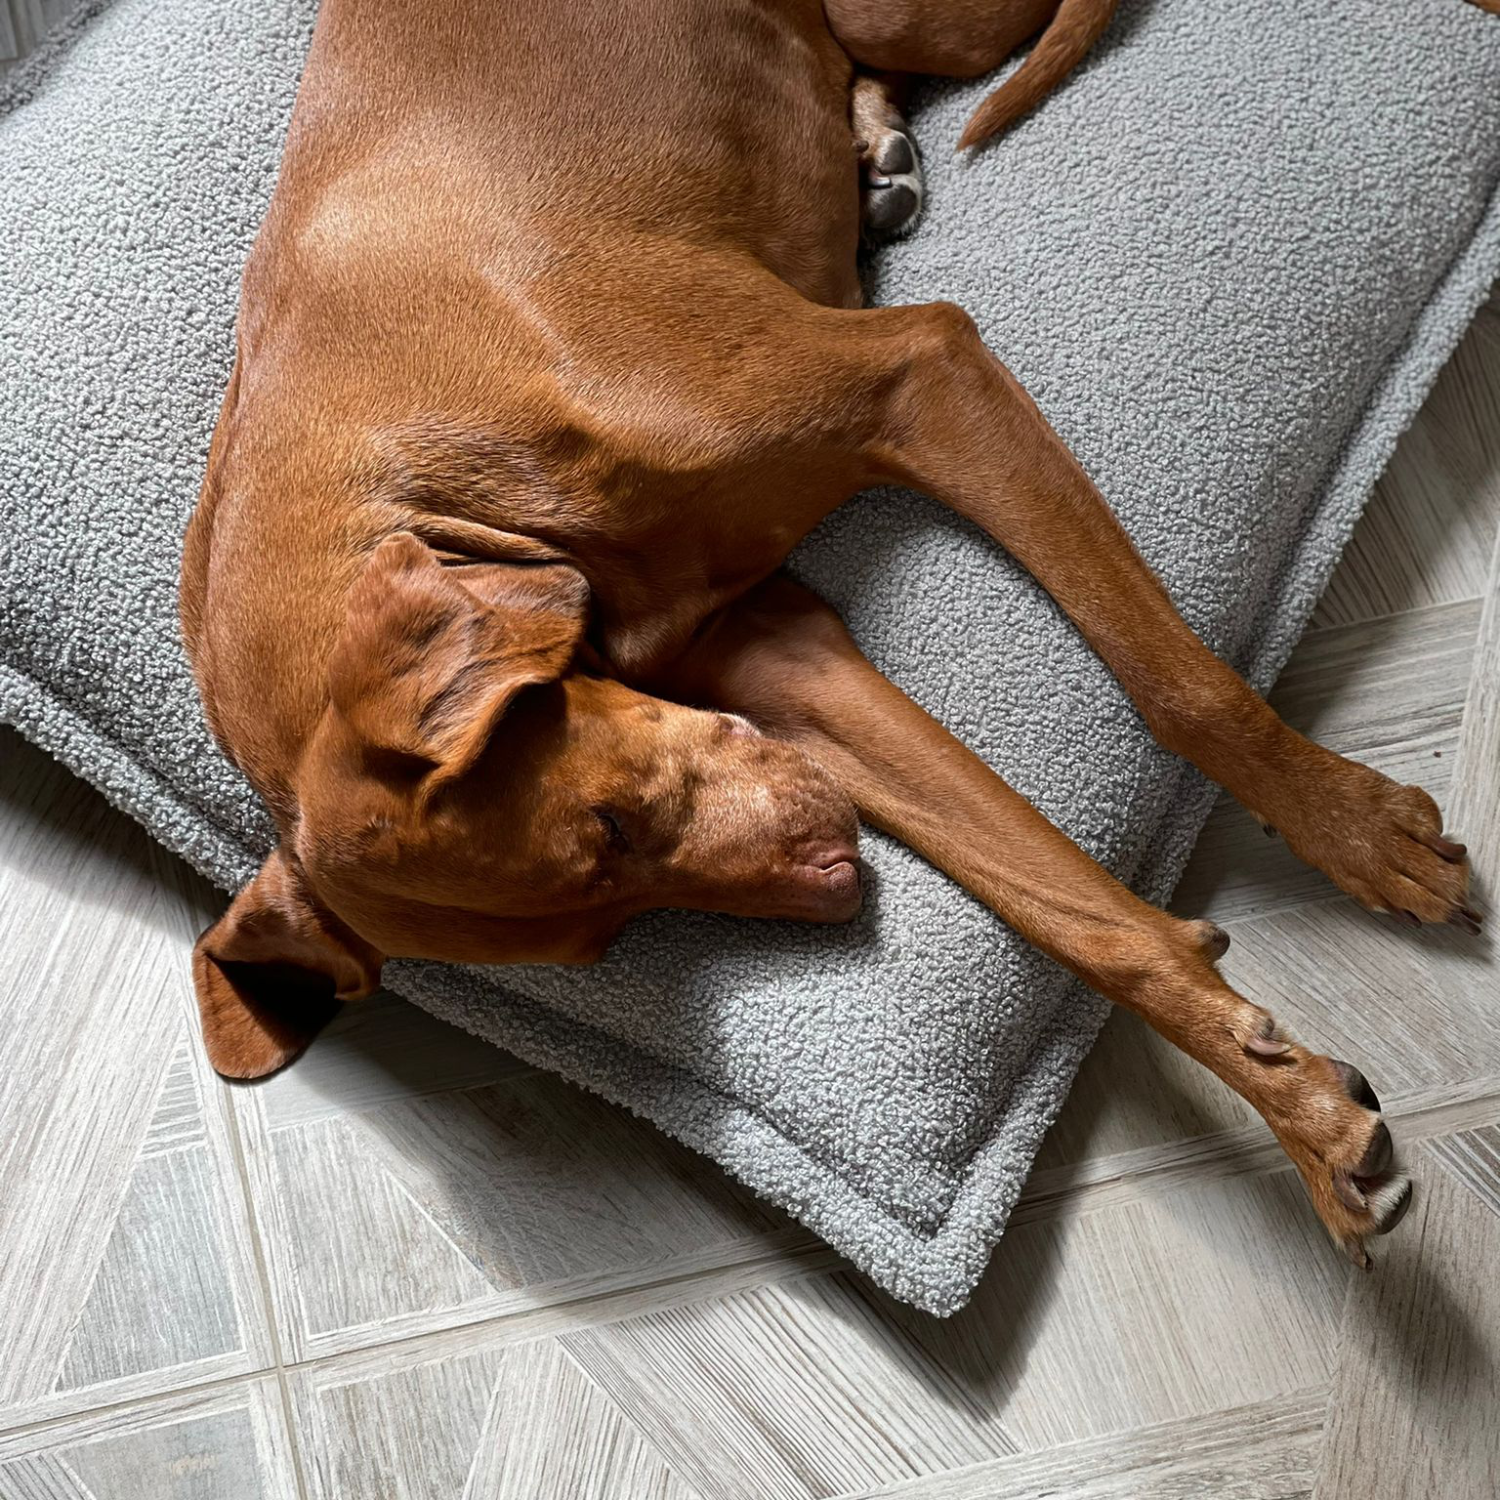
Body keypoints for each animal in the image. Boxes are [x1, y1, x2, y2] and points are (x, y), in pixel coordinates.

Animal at [184, 0, 1476, 1266]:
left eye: (610, 828)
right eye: (598, 945)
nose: (839, 887)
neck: (432, 479)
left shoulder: (921, 373)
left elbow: (1178, 691)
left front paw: (1356, 831)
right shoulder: (782, 670)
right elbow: (1076, 920)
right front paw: (1303, 1115)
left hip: (928, 22)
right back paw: (875, 153)